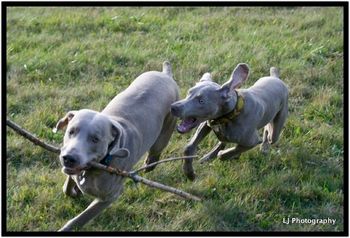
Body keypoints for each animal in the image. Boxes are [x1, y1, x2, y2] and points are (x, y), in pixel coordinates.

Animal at [53, 61, 179, 231]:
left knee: (156, 151)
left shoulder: (110, 196)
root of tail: (166, 75)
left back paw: (149, 165)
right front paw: (75, 191)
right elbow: (67, 186)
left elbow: (83, 217)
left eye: (95, 139)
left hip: (166, 130)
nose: (68, 158)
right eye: (71, 131)